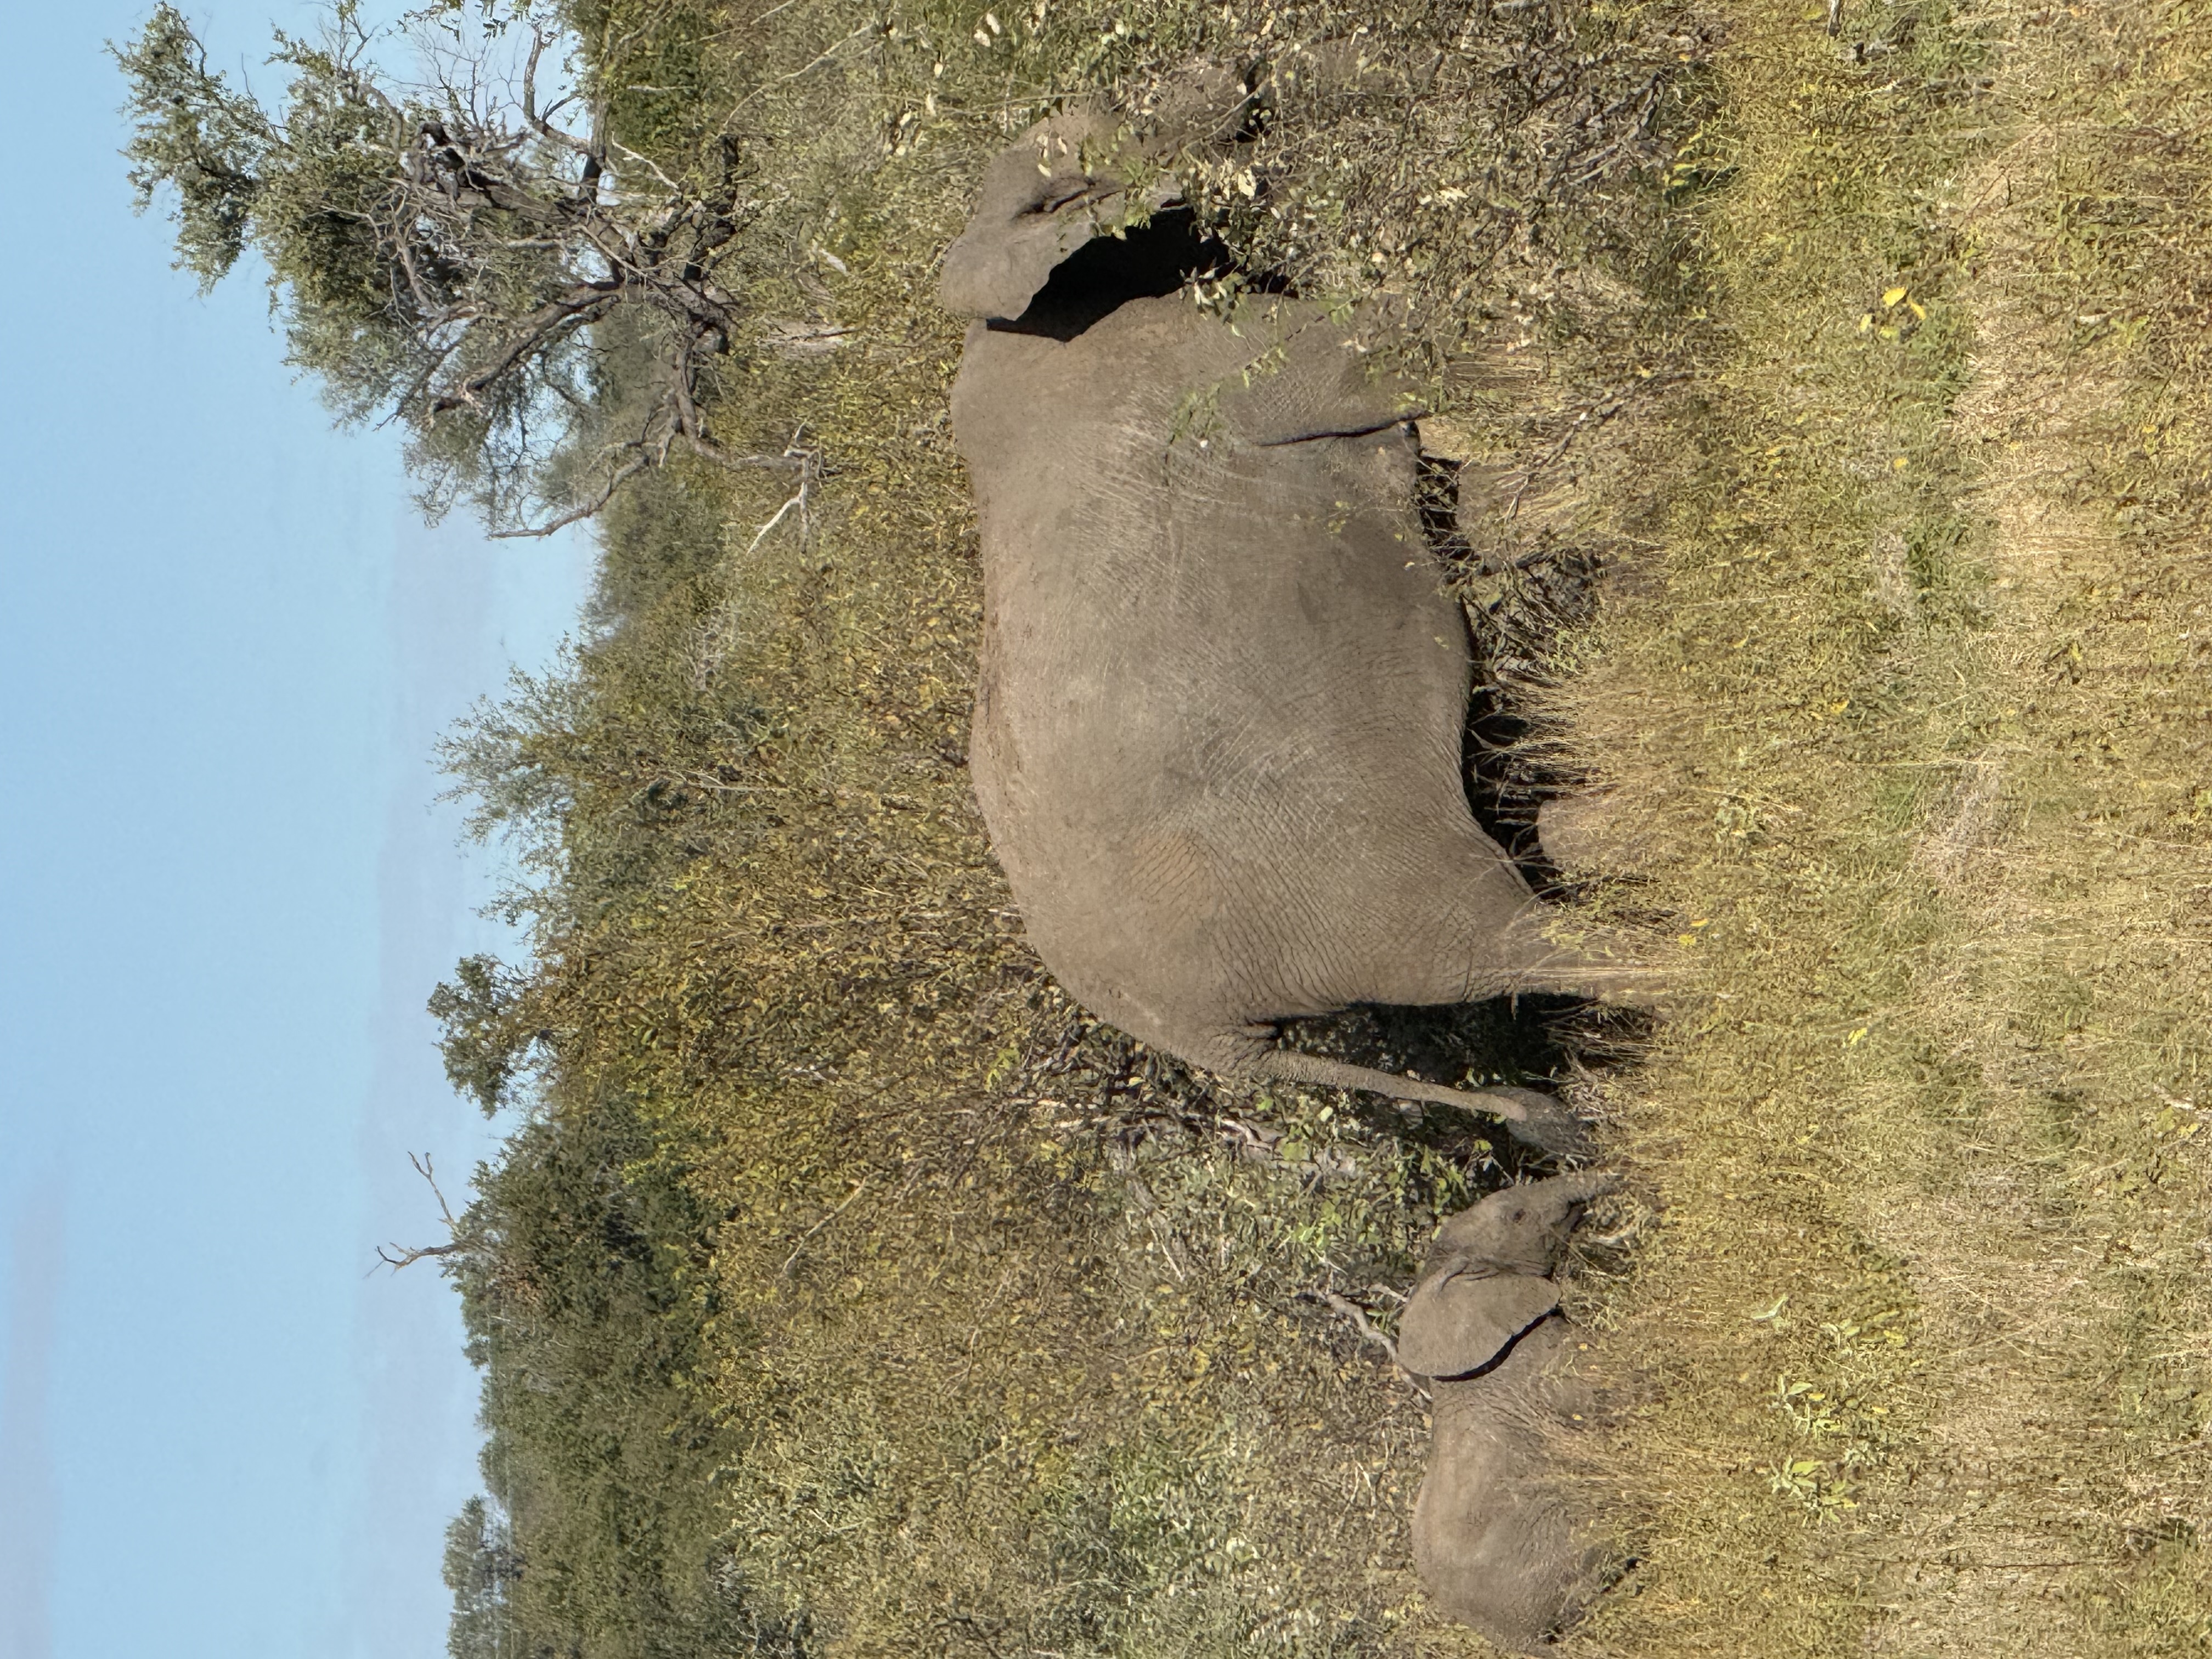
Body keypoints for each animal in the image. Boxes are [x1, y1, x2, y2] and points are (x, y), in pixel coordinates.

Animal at [941, 99, 1654, 1154]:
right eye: (1096, 151)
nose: (1244, 96)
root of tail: (1196, 1037)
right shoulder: (1200, 359)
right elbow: (1391, 349)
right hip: (1324, 886)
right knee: (1496, 939)